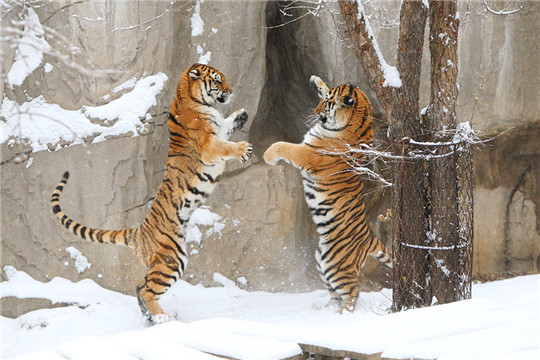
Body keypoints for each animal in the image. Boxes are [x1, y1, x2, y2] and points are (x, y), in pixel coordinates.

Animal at [51, 63, 253, 322]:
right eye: (218, 81)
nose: (231, 91)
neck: (189, 98)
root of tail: (137, 232)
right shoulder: (209, 145)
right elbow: (225, 146)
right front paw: (243, 149)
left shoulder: (218, 130)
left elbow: (226, 125)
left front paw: (241, 114)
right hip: (172, 260)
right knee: (147, 290)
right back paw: (164, 319)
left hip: (168, 261)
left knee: (139, 286)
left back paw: (150, 317)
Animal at [264, 75, 390, 312]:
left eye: (327, 103)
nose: (315, 110)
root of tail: (370, 237)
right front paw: (317, 81)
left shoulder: (308, 153)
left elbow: (284, 146)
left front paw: (268, 155)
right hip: (321, 262)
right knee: (335, 294)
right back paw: (324, 311)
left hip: (336, 266)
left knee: (352, 294)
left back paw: (341, 315)